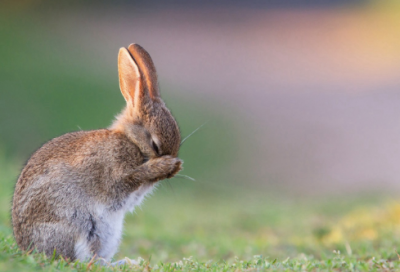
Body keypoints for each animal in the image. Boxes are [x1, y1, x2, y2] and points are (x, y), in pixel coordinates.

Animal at [11, 44, 183, 264]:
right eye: (155, 144)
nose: (172, 169)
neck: (131, 141)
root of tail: (28, 248)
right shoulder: (115, 173)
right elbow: (129, 179)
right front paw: (164, 166)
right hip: (77, 225)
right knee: (83, 260)